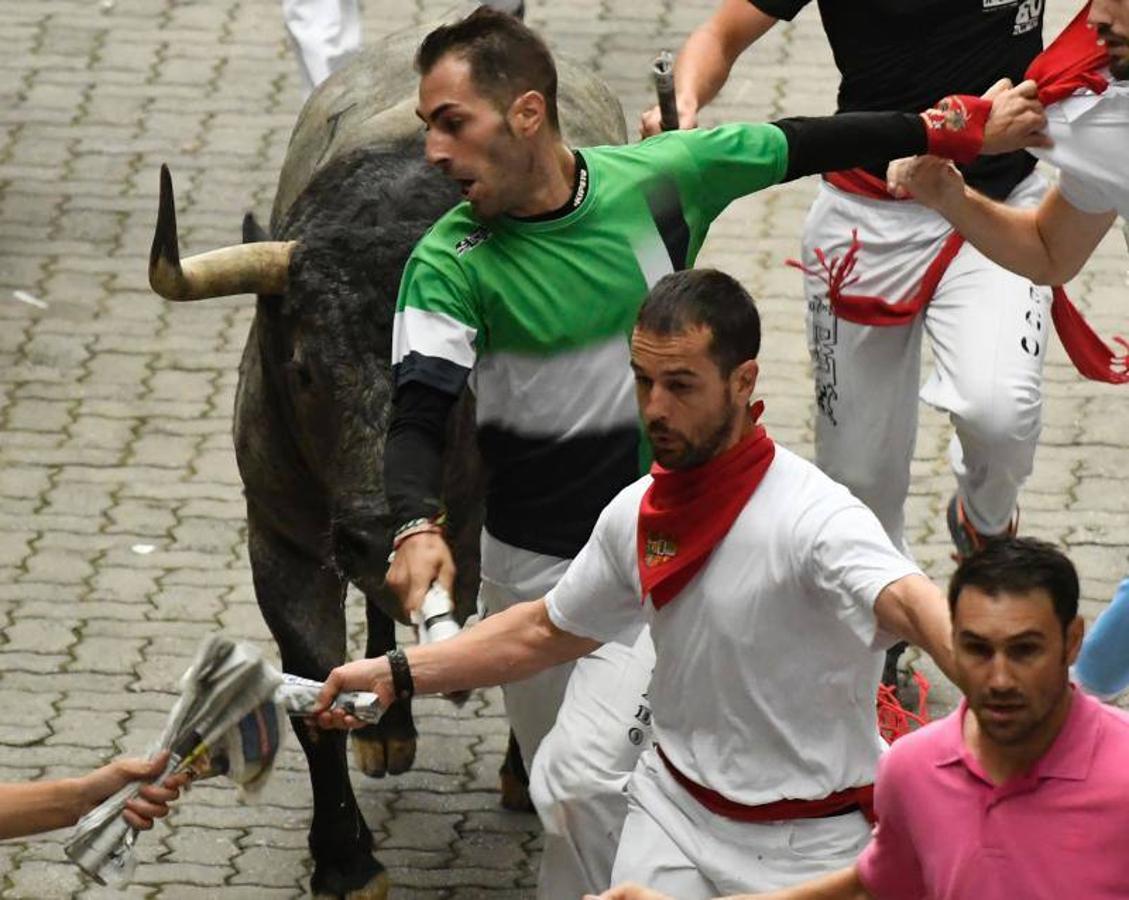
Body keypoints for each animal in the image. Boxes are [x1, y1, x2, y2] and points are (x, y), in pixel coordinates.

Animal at [145, 5, 627, 889]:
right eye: (303, 368)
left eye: (464, 374)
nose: (374, 531)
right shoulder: (285, 540)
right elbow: (316, 694)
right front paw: (343, 856)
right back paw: (390, 724)